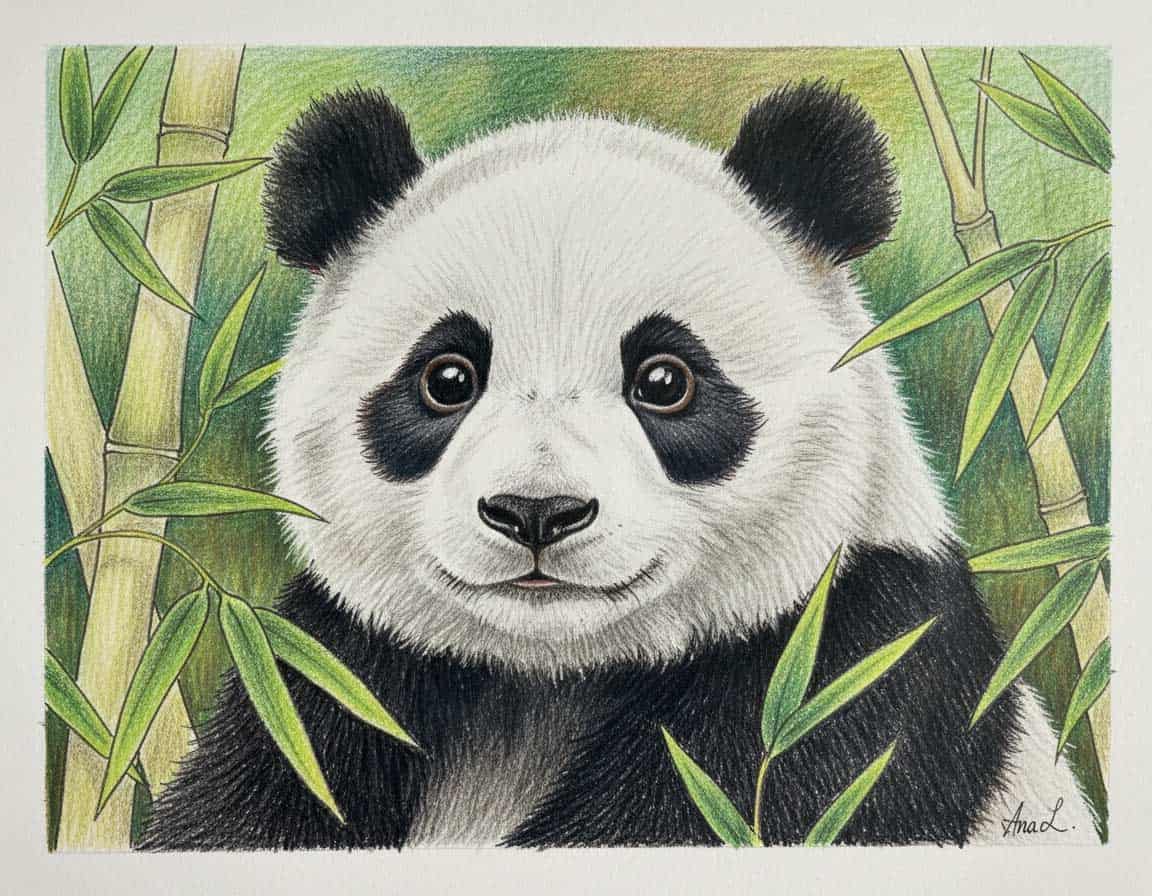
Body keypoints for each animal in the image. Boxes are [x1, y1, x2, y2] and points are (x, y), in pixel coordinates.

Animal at [142, 83, 1096, 849]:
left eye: (664, 381)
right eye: (446, 378)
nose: (536, 511)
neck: (549, 679)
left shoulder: (850, 666)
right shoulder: (331, 673)